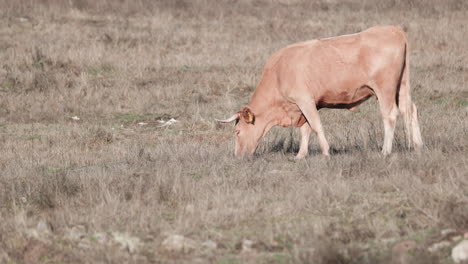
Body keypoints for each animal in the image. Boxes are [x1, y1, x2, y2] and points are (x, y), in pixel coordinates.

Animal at [219, 26, 424, 159]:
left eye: (237, 131)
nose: (238, 157)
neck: (279, 72)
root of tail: (394, 29)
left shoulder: (305, 100)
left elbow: (316, 126)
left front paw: (326, 152)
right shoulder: (304, 105)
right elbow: (305, 129)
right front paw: (301, 155)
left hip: (385, 88)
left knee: (390, 115)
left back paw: (386, 150)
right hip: (401, 87)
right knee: (410, 110)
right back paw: (418, 145)